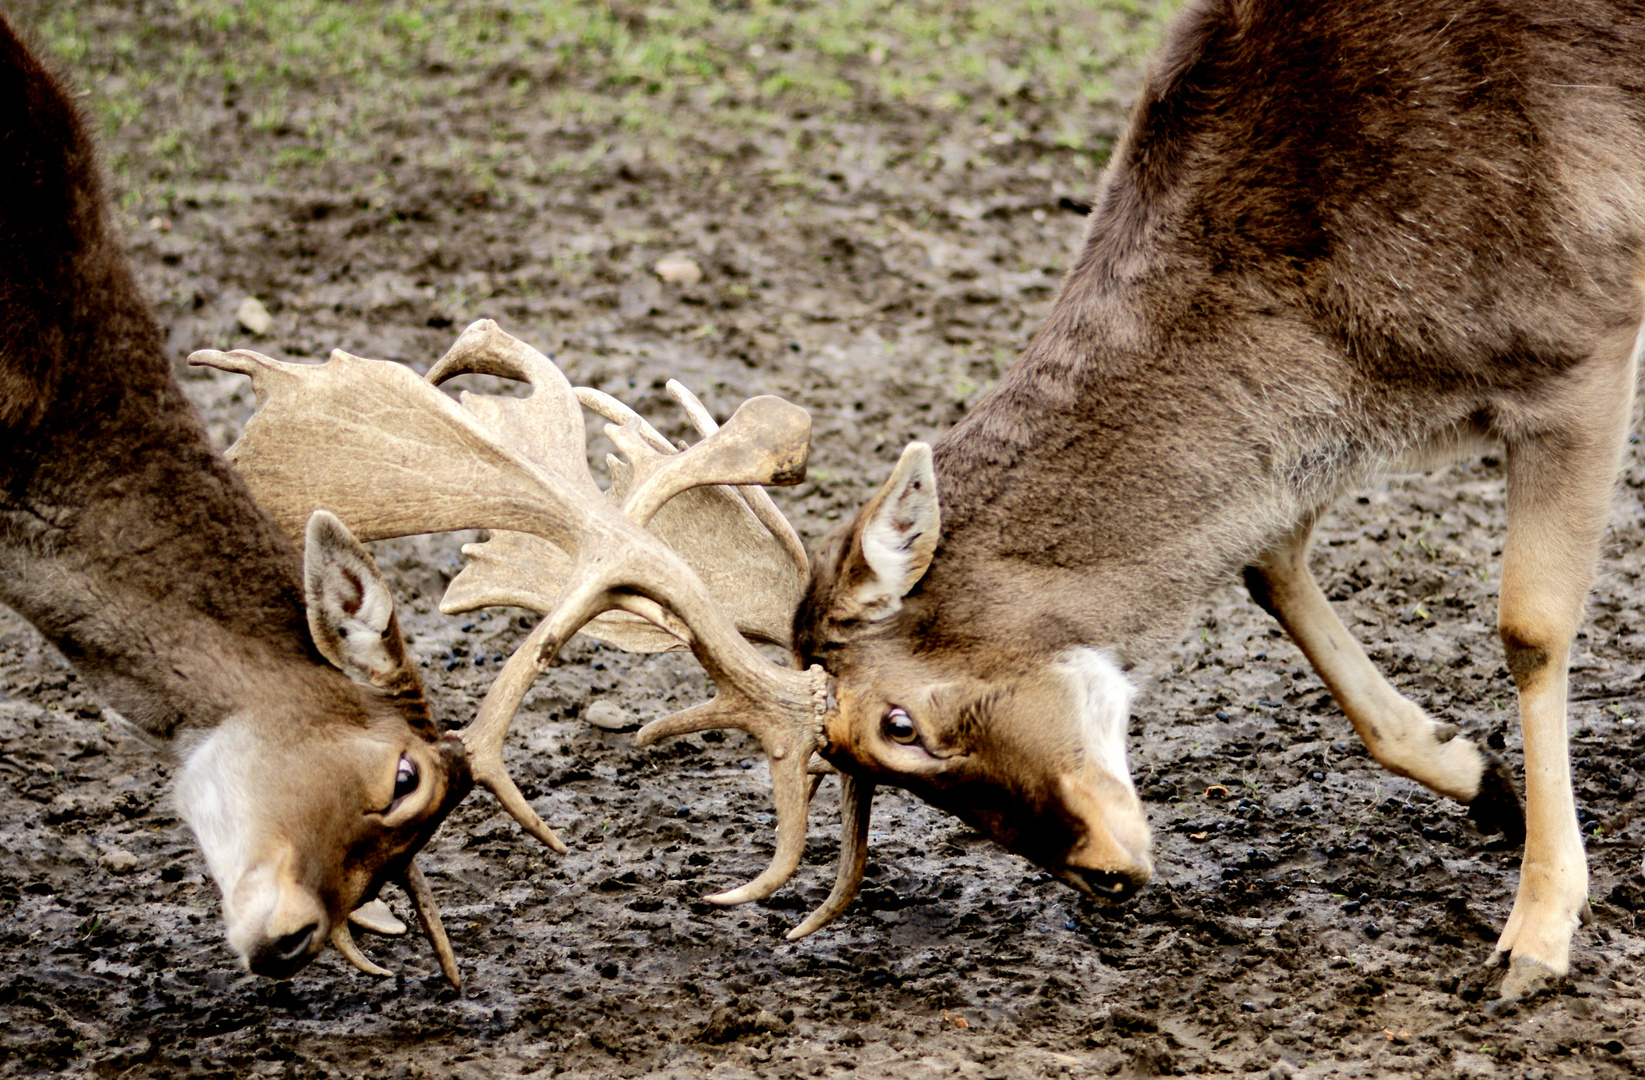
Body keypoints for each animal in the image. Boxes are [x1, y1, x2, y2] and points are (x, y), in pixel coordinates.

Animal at [783, 0, 1645, 999]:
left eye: (899, 724)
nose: (1103, 874)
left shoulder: (1580, 341)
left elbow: (1529, 627)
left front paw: (1536, 933)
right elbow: (1268, 561)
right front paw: (1482, 780)